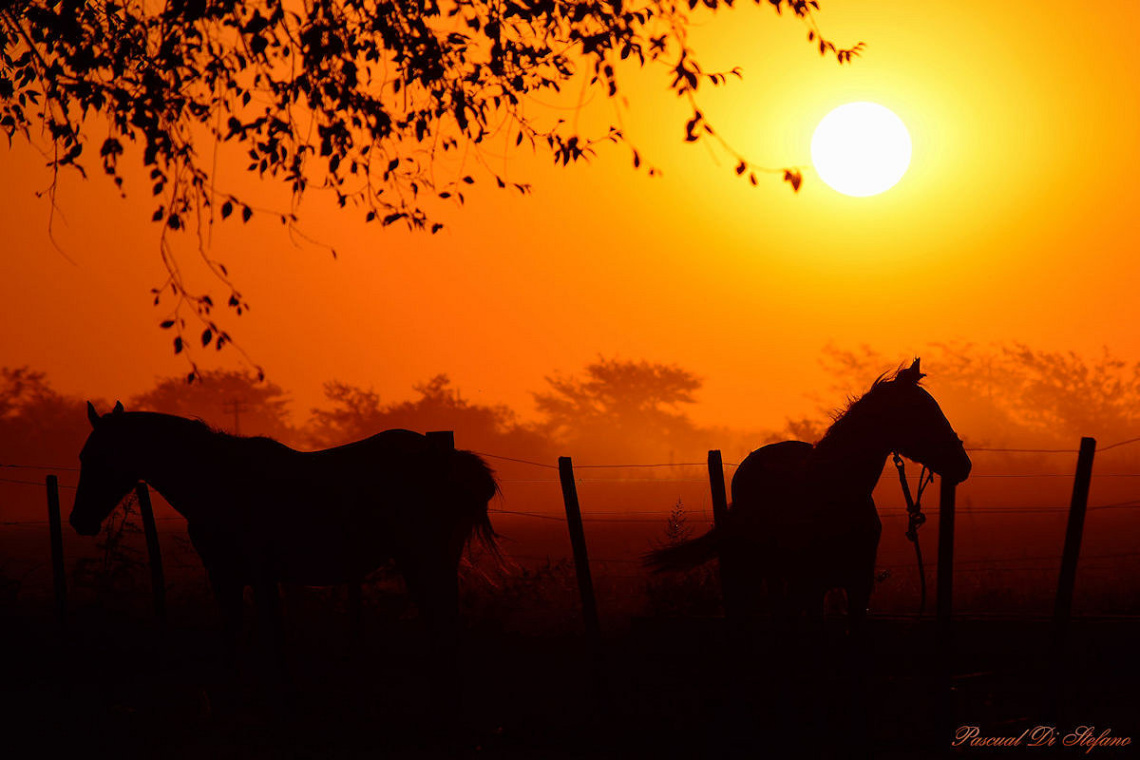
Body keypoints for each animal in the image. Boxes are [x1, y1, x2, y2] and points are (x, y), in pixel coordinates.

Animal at [69, 402, 499, 673]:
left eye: (93, 457)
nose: (78, 520)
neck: (218, 479)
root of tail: (449, 458)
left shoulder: (247, 575)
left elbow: (265, 638)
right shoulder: (236, 577)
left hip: (424, 559)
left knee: (443, 621)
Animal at [647, 358, 971, 630]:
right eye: (922, 412)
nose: (963, 465)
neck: (833, 497)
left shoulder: (858, 585)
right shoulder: (811, 583)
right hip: (766, 570)